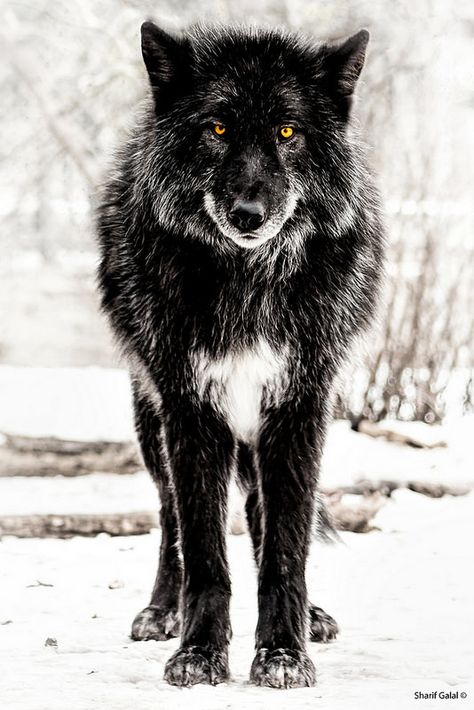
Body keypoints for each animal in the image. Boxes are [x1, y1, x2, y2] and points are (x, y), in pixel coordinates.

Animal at [96, 22, 386, 688]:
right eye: (218, 129)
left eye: (287, 132)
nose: (248, 215)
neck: (248, 280)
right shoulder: (191, 410)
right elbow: (204, 551)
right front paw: (200, 653)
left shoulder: (300, 408)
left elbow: (285, 547)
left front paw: (282, 654)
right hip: (153, 423)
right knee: (170, 518)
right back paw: (160, 610)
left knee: (260, 512)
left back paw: (311, 616)